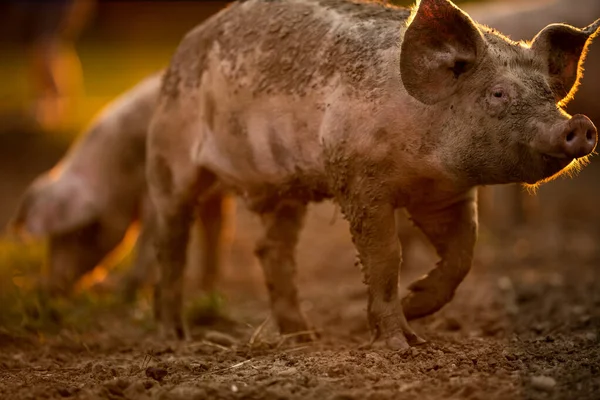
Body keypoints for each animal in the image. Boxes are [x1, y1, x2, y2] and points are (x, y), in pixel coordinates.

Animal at [11, 72, 232, 298]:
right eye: (52, 239)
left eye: (82, 232)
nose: (51, 288)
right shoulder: (207, 195)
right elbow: (213, 229)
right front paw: (205, 288)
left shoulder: (157, 192)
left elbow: (149, 237)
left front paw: (124, 290)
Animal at [146, 0, 600, 346]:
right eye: (498, 94)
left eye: (549, 94)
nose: (577, 125)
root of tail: (181, 51)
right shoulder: (357, 179)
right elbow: (385, 256)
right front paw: (402, 344)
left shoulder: (448, 194)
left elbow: (463, 254)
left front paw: (415, 304)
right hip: (170, 159)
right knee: (171, 244)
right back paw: (176, 339)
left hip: (285, 189)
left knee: (271, 249)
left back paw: (304, 337)